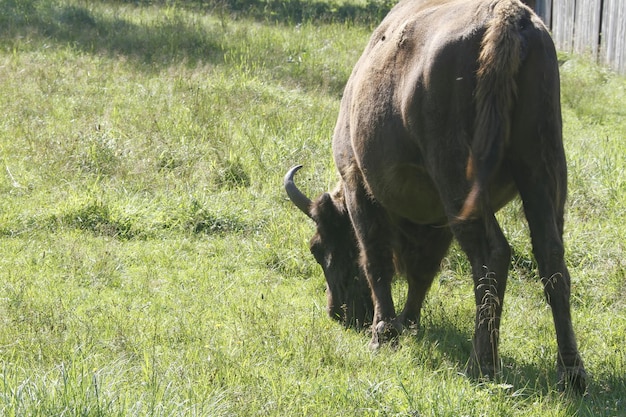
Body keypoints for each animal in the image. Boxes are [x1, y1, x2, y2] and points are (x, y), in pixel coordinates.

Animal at [282, 0, 584, 392]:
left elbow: (376, 259)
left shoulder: (357, 183)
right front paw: (408, 323)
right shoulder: (436, 218)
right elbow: (422, 272)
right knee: (551, 258)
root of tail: (506, 16)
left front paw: (384, 334)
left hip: (458, 179)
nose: (339, 313)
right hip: (541, 169)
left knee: (491, 254)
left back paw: (481, 365)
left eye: (317, 249)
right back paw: (571, 374)